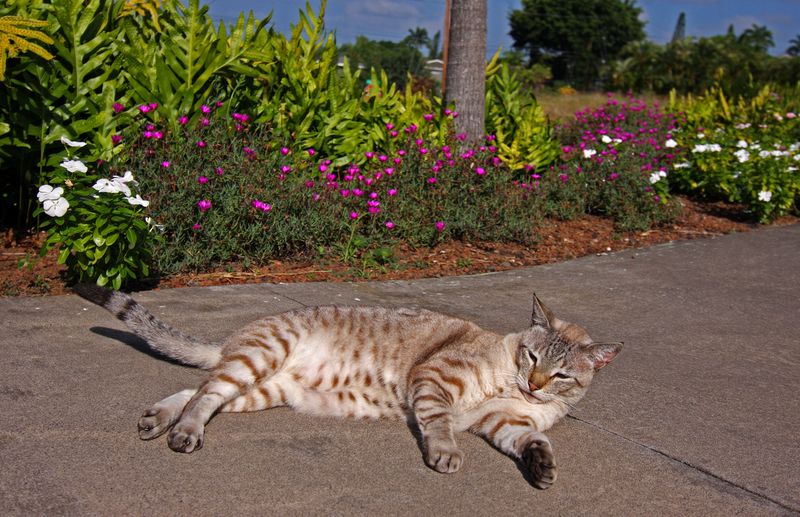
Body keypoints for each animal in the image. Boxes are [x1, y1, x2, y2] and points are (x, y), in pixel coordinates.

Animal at [73, 283, 622, 489]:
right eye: (532, 356)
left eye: (562, 374)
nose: (534, 382)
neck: (512, 388)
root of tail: (233, 338)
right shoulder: (435, 380)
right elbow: (439, 423)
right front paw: (445, 453)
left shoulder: (504, 423)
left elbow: (532, 439)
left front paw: (542, 466)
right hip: (259, 357)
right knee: (204, 393)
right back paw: (182, 432)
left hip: (261, 388)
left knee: (201, 390)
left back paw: (158, 419)